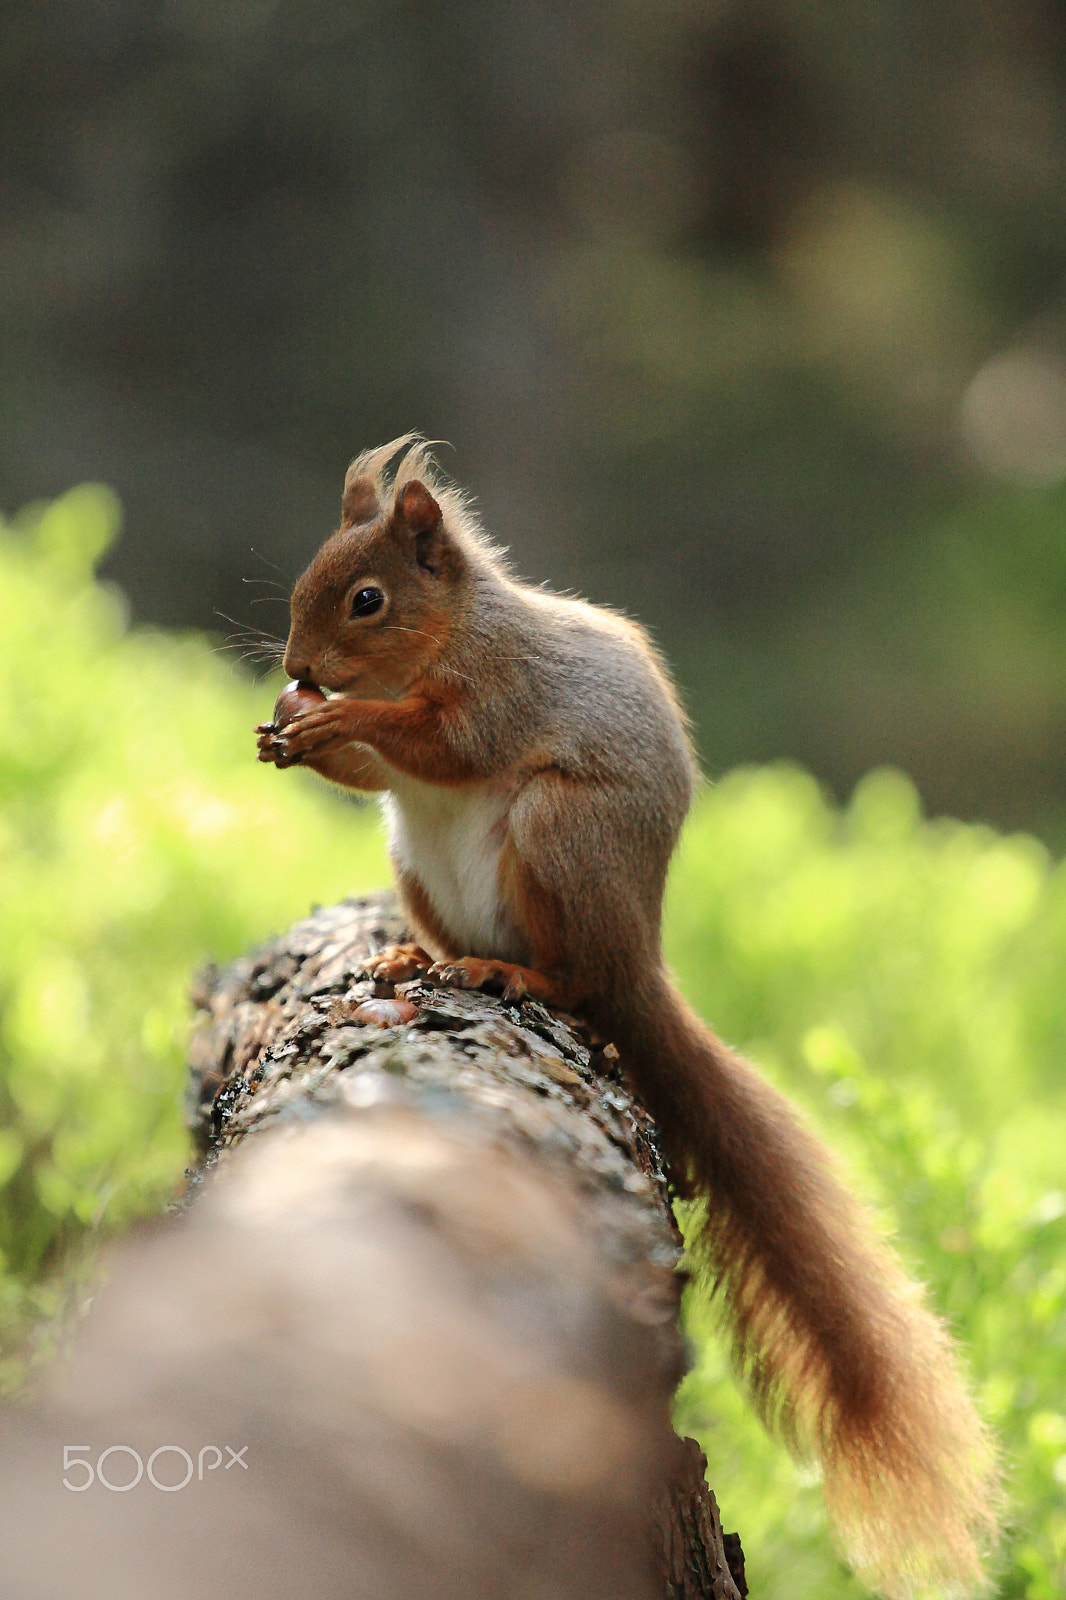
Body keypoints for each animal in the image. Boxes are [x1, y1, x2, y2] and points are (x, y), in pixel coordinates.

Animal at [256, 438, 998, 1600]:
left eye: (367, 599)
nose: (297, 662)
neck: (450, 632)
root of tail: (635, 951)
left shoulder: (500, 692)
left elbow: (443, 742)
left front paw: (336, 716)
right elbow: (382, 770)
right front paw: (295, 728)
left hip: (558, 836)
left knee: (569, 977)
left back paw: (503, 969)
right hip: (412, 857)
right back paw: (415, 954)